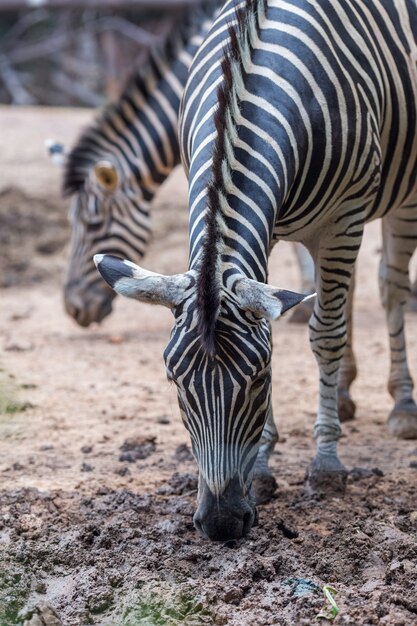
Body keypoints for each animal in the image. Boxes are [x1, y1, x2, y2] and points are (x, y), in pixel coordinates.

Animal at [94, 0, 416, 540]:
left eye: (259, 380)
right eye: (175, 384)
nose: (222, 525)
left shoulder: (344, 217)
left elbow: (324, 334)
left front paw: (326, 467)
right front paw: (265, 469)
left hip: (401, 192)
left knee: (390, 286)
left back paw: (402, 406)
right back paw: (346, 393)